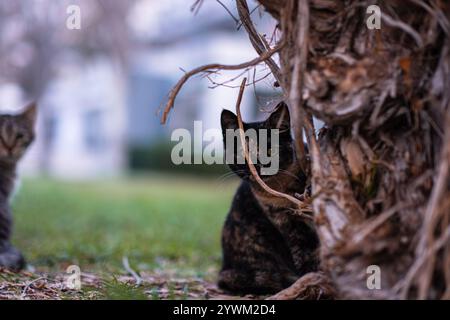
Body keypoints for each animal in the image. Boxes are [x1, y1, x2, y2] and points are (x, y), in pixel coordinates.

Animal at [219, 103, 320, 296]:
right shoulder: (288, 223)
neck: (284, 189)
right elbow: (306, 254)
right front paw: (314, 281)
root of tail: (224, 267)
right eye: (243, 152)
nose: (258, 165)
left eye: (270, 150)